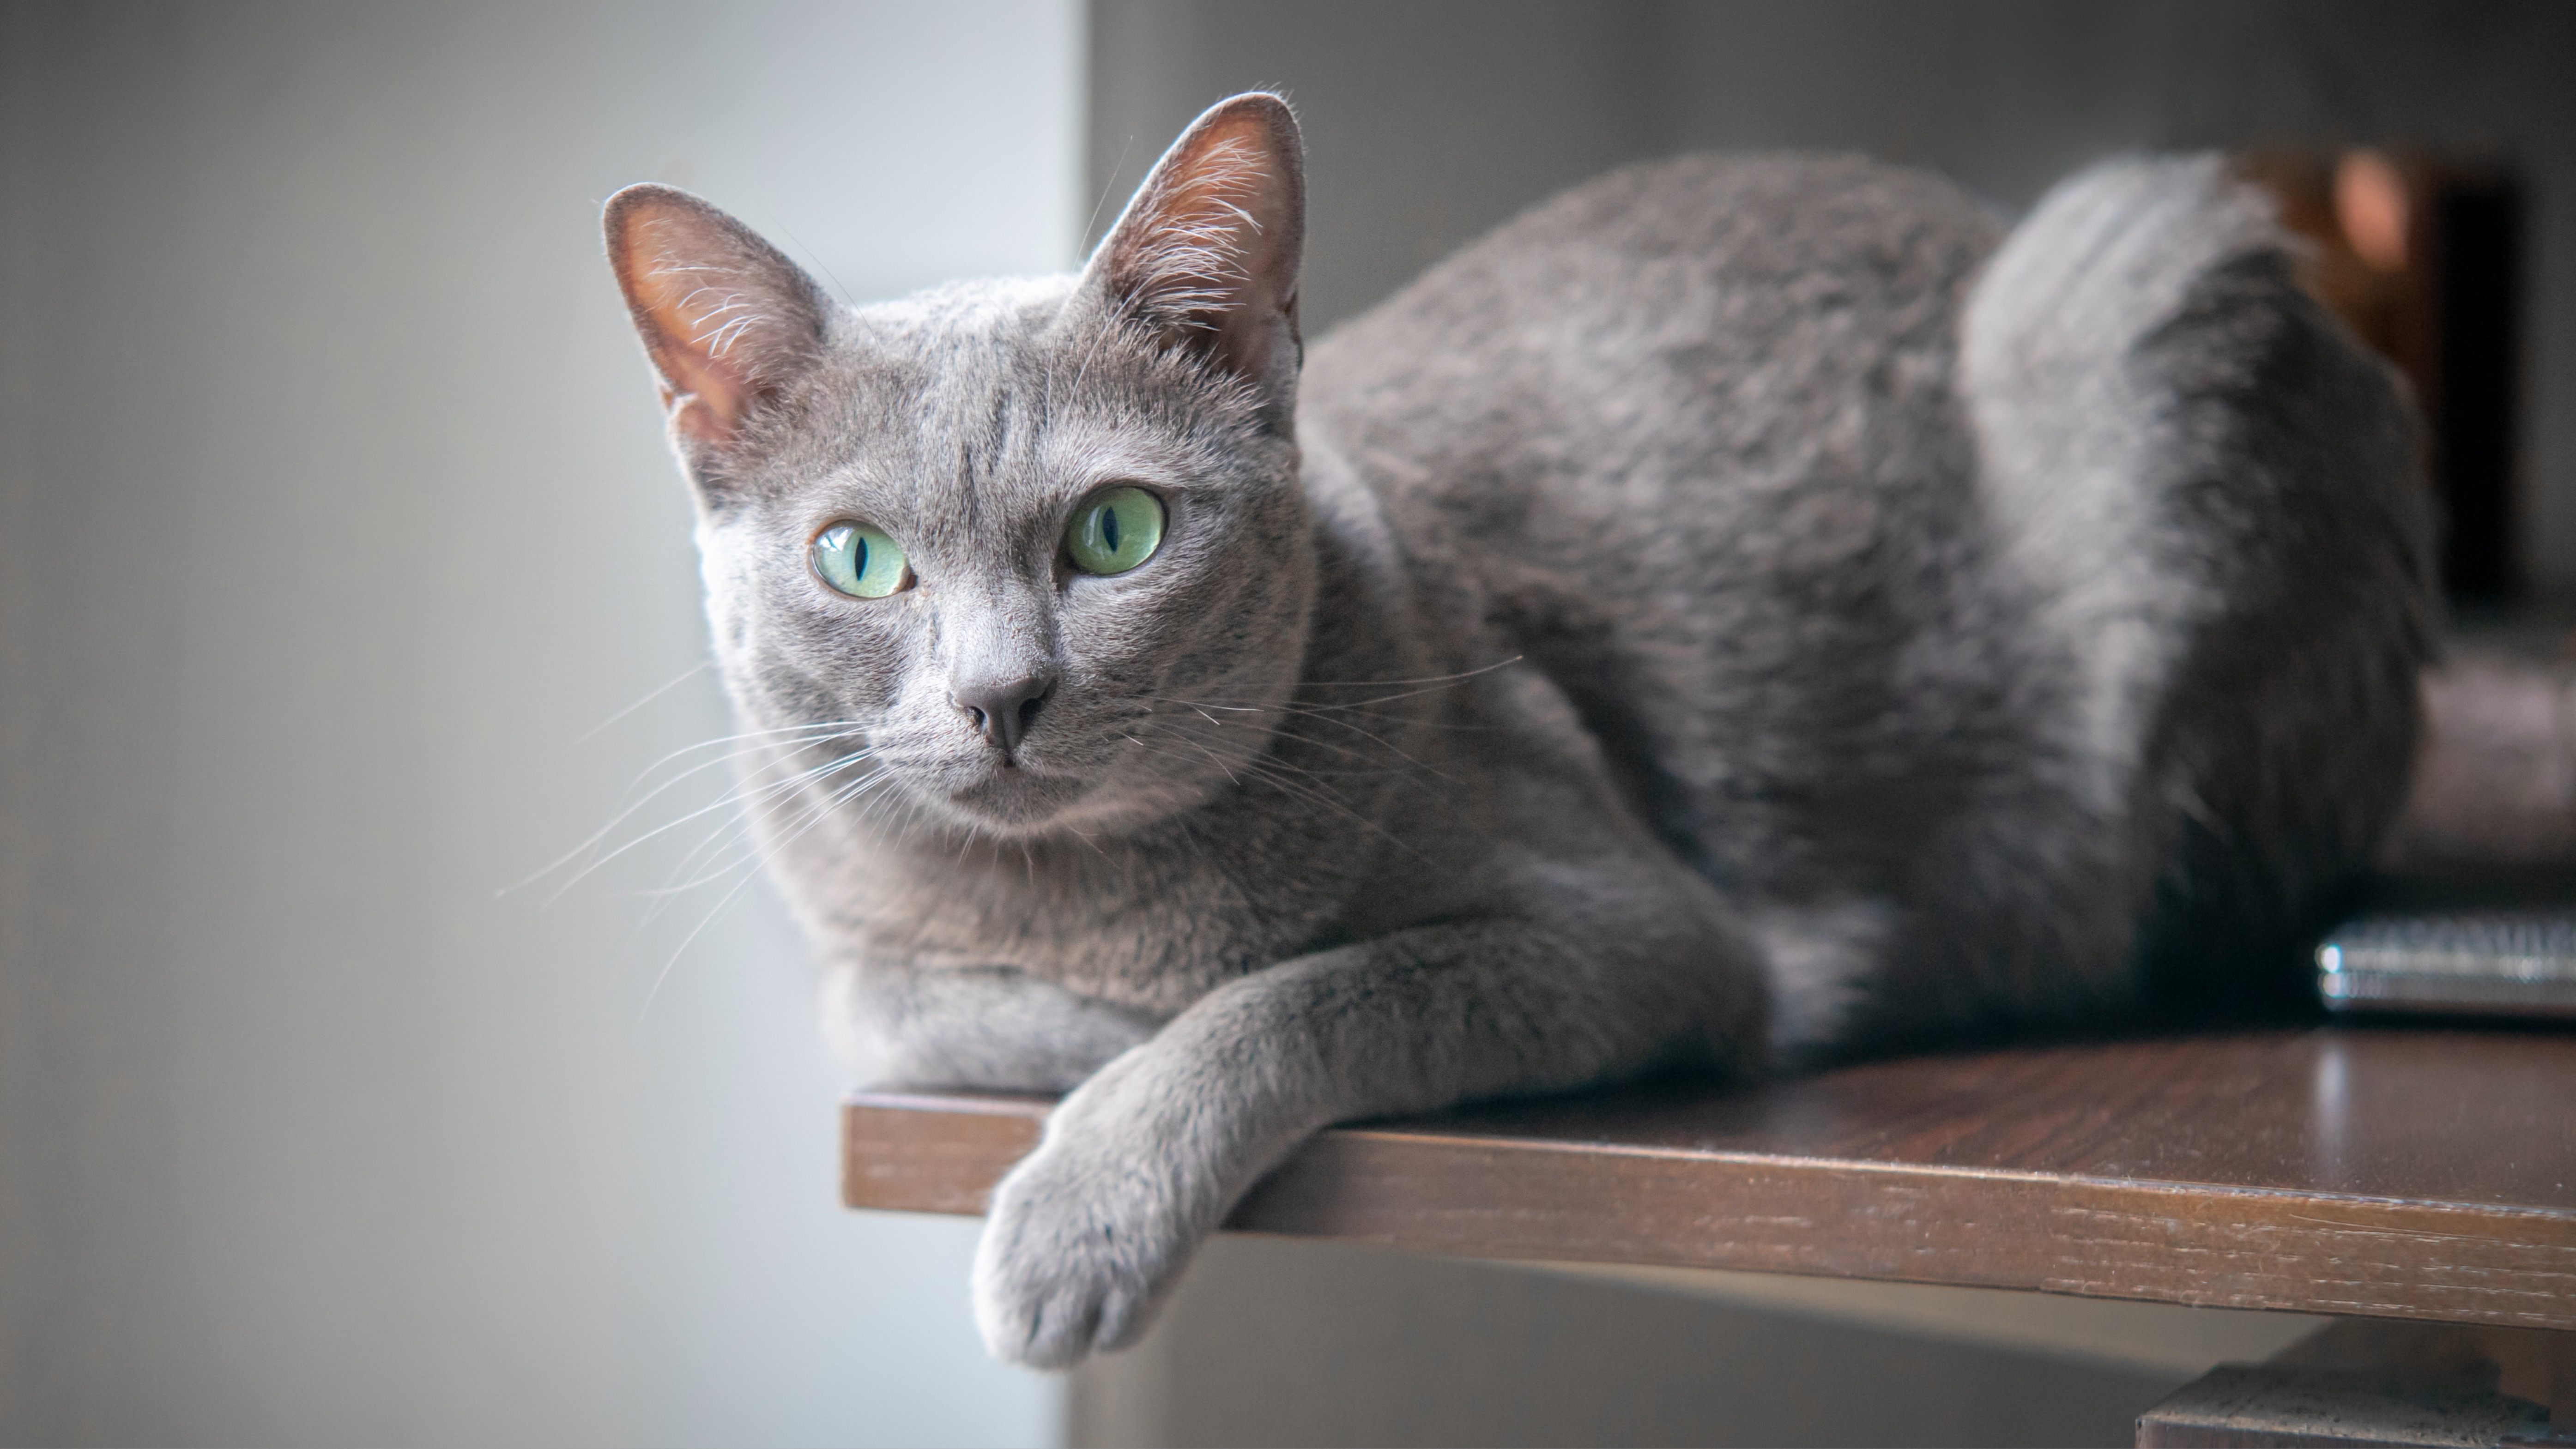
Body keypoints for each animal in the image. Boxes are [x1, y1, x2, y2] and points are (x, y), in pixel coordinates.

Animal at [603, 93, 2431, 1369]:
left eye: (1115, 534)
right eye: (859, 560)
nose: (1000, 696)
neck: (1075, 900)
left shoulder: (1648, 936)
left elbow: (1297, 996)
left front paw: (1075, 1212)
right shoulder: (864, 943)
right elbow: (889, 1007)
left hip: (2139, 285)